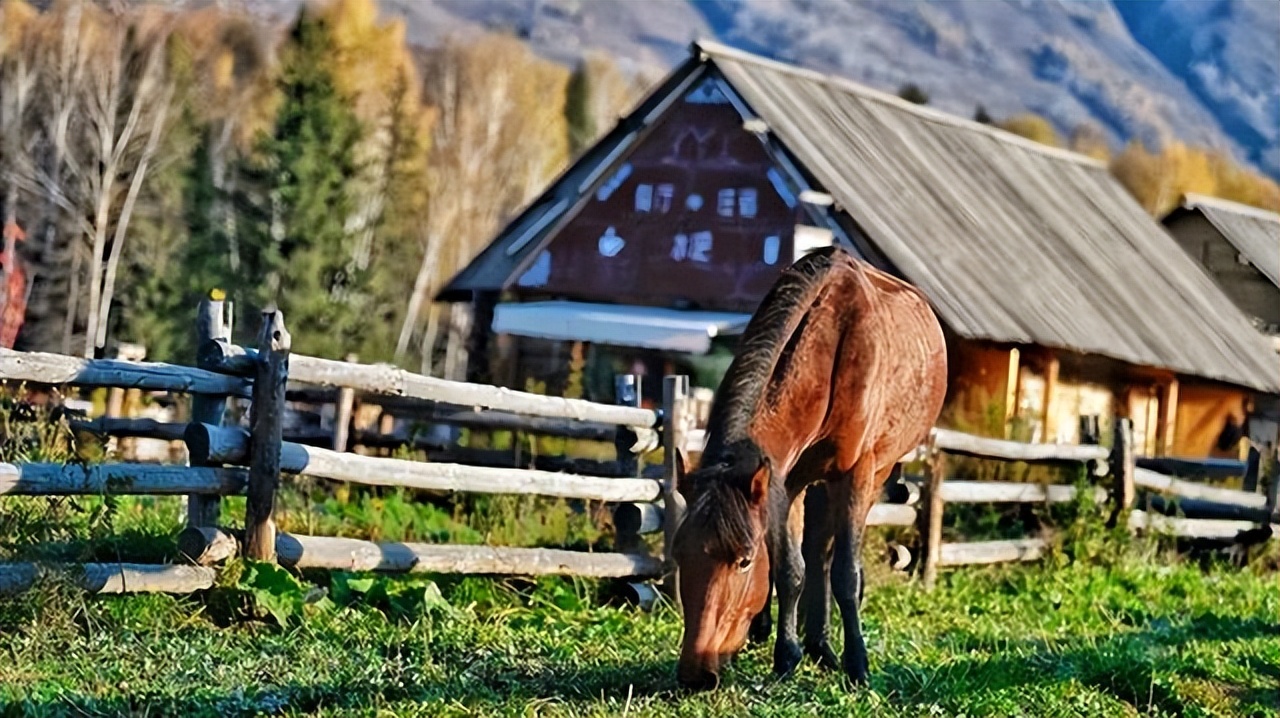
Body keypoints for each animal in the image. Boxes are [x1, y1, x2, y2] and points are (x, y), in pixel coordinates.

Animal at [675, 245, 947, 691]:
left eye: (744, 560)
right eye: (679, 553)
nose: (695, 674)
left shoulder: (855, 473)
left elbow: (846, 573)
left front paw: (857, 665)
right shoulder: (785, 481)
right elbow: (791, 569)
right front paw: (787, 655)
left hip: (876, 472)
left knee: (830, 553)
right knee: (816, 550)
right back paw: (810, 642)